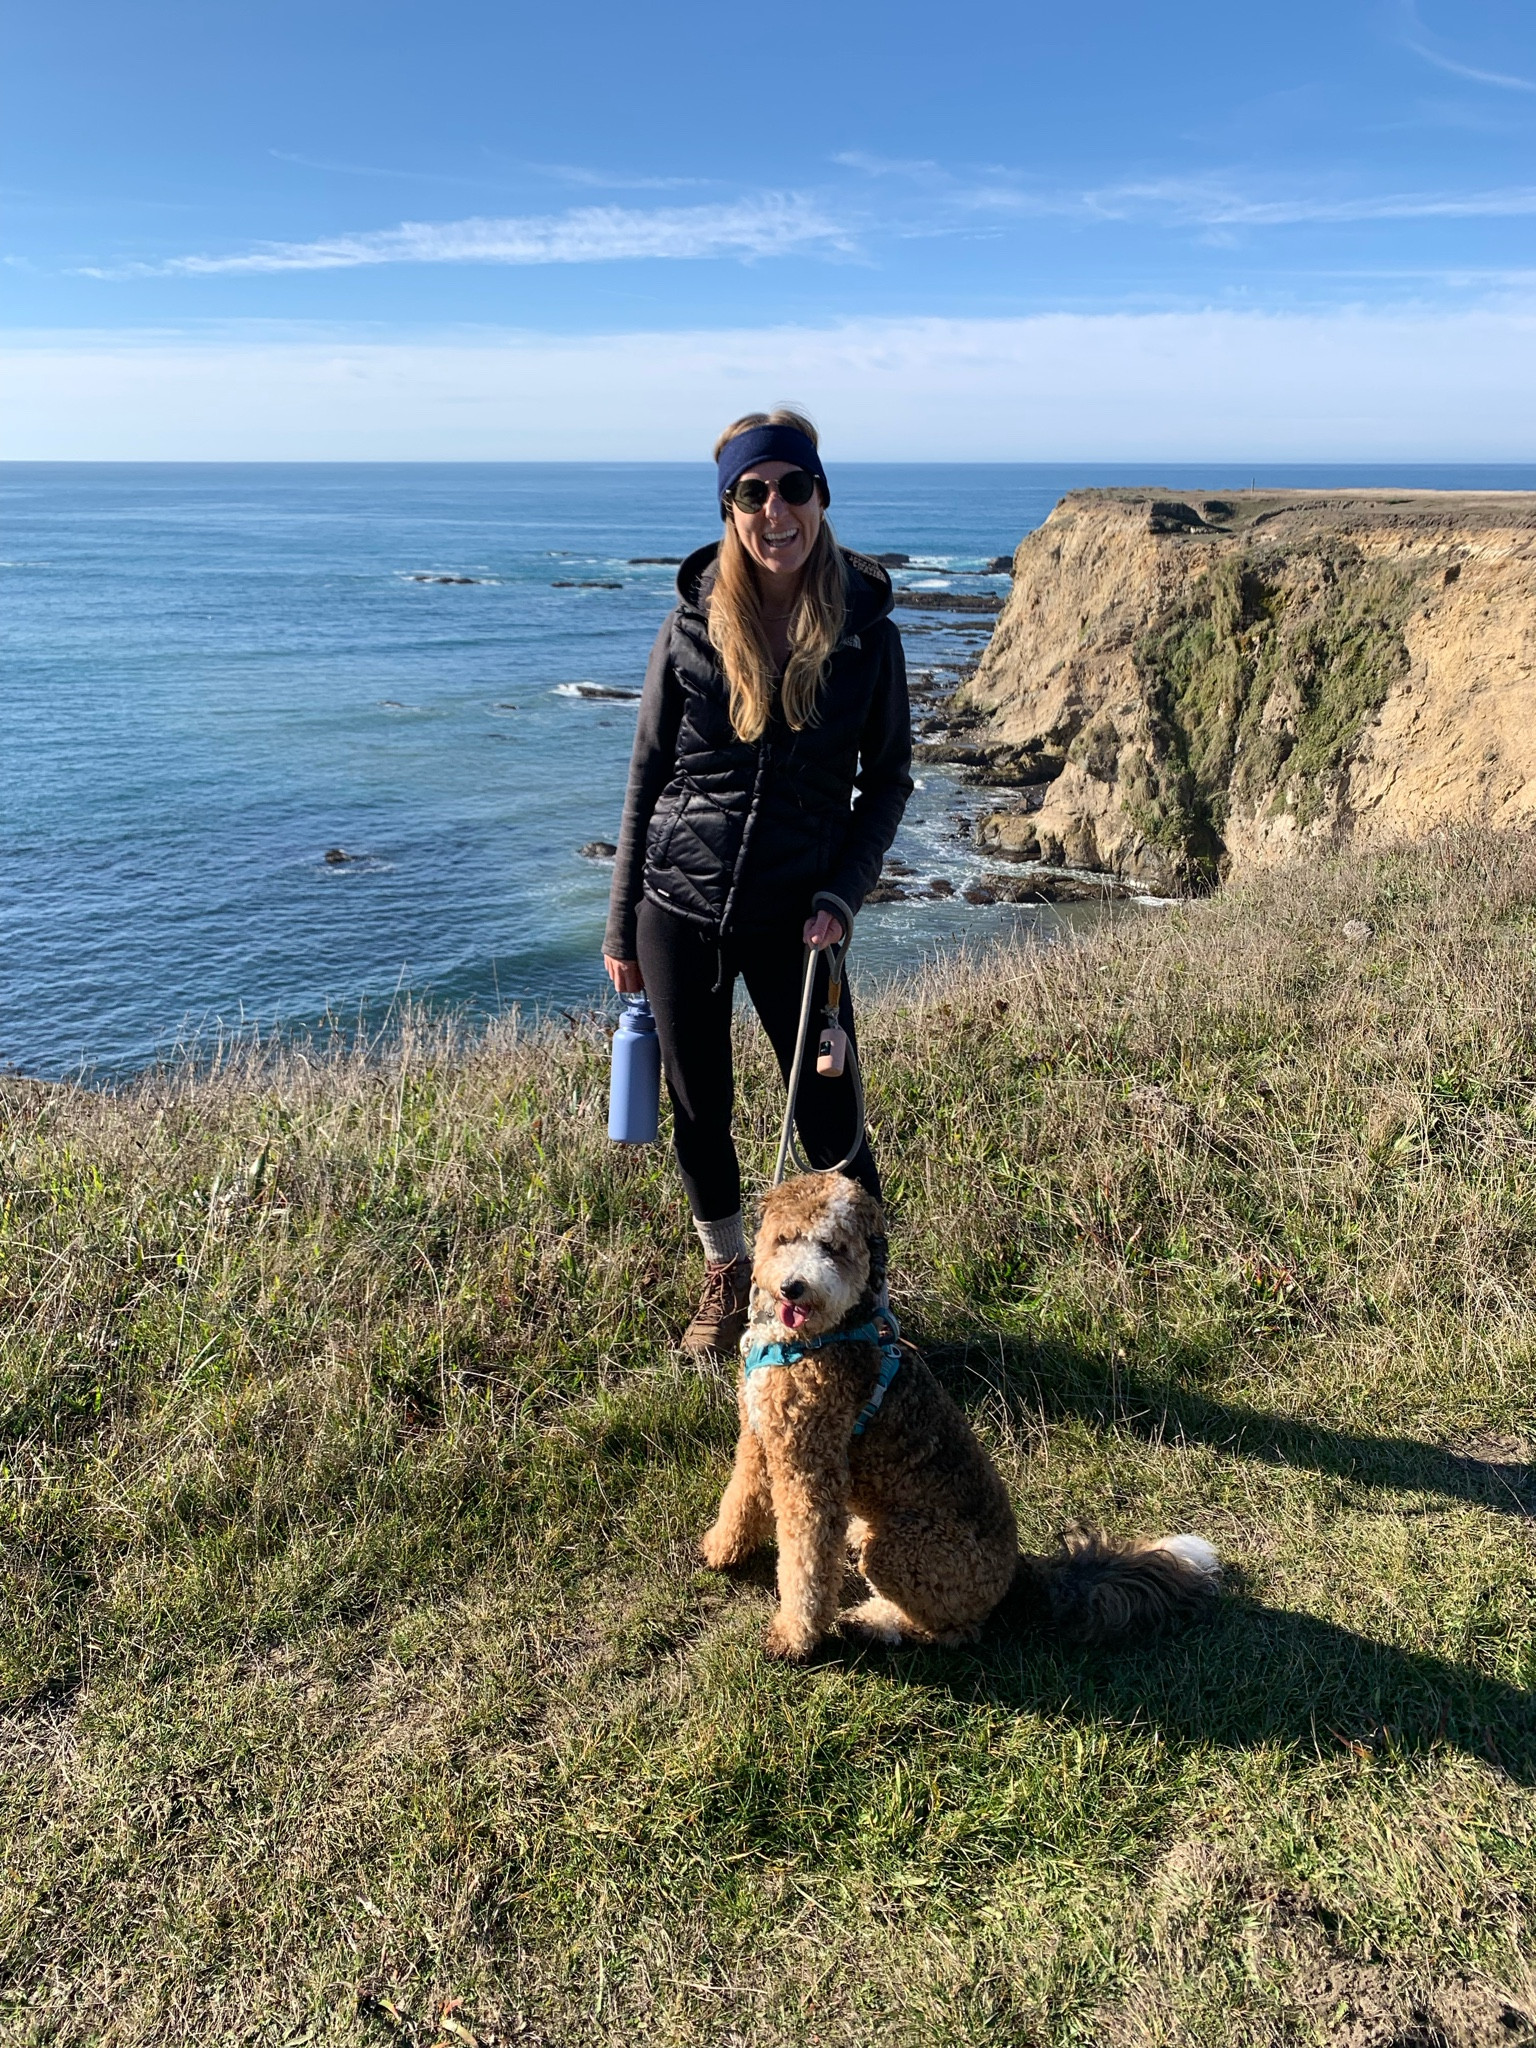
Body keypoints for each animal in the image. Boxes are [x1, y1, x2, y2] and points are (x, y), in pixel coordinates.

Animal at [700, 1171, 1228, 1662]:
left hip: (897, 1550)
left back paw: (877, 1623)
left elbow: (805, 1565)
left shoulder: (809, 1474)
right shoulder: (759, 1439)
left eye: (833, 1247)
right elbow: (741, 1497)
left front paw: (794, 1637)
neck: (817, 1337)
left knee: (955, 1631)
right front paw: (724, 1548)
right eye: (785, 1238)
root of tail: (1017, 1574)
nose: (794, 1287)